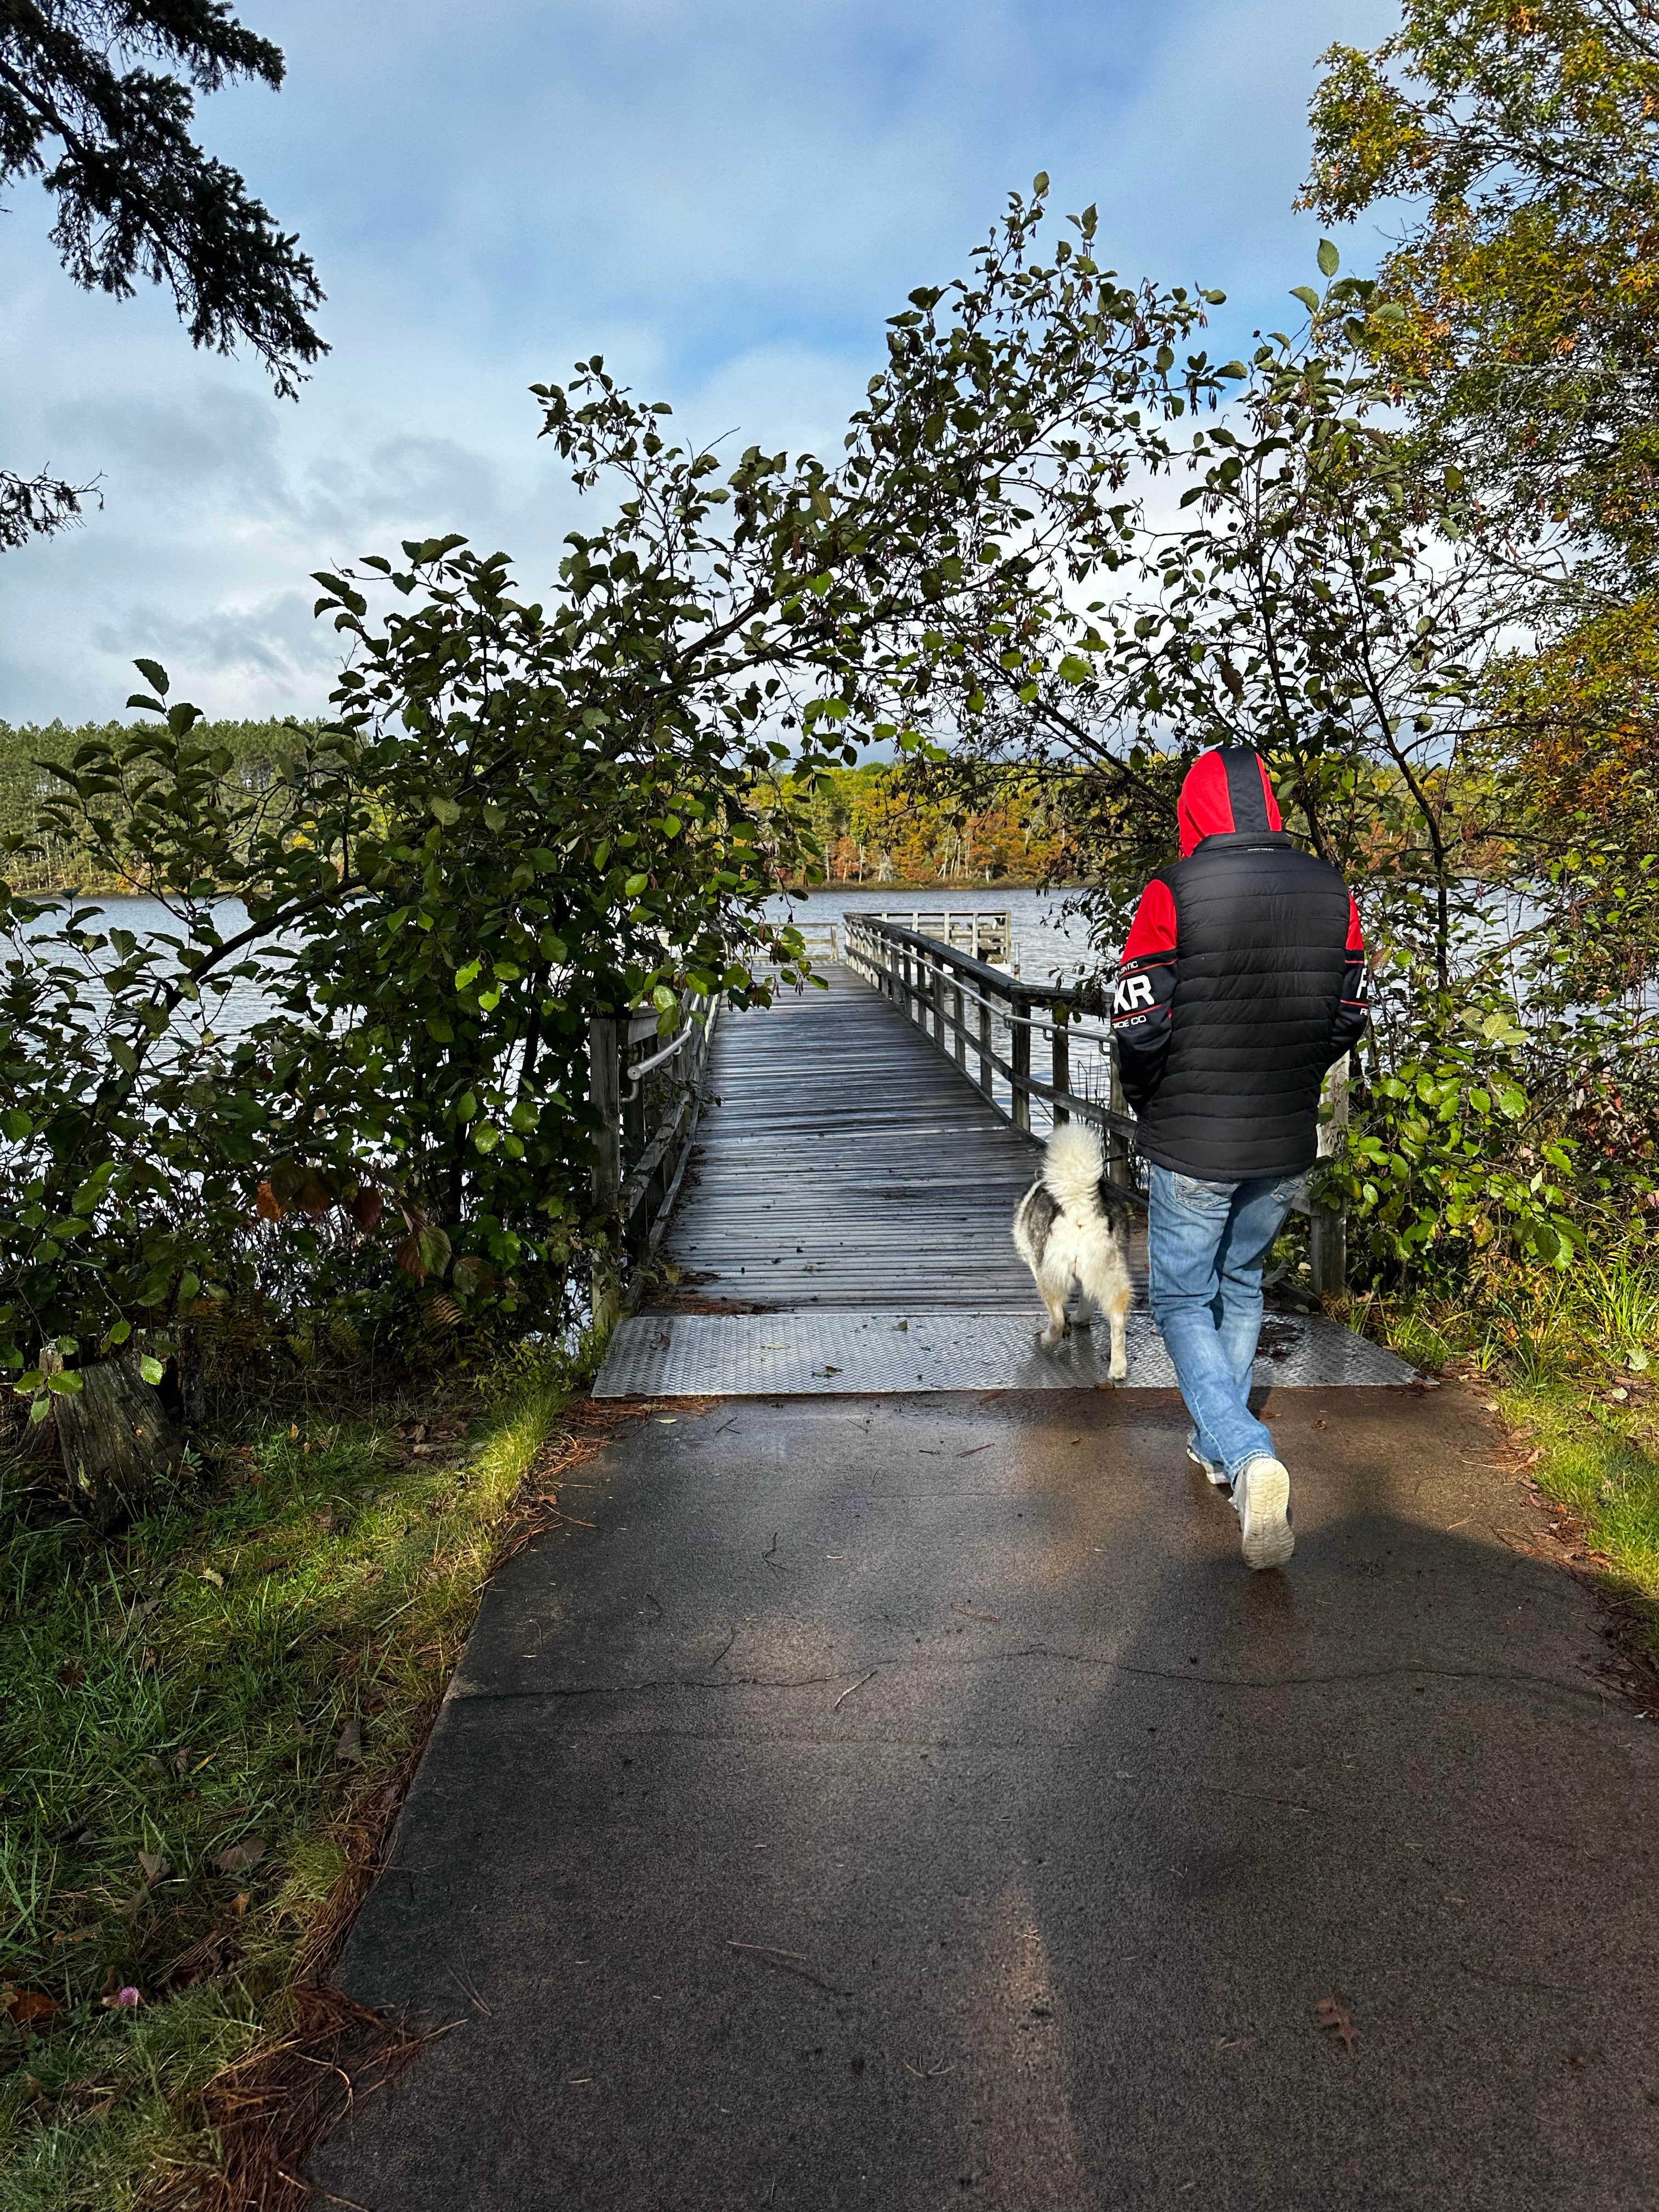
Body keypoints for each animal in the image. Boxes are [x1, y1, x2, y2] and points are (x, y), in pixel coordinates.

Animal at [1013, 1124, 1141, 1380]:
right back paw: (1118, 1368)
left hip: (1050, 1273)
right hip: (1107, 1269)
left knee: (1056, 1317)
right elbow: (1086, 1297)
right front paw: (1082, 1319)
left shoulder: (1037, 1265)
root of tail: (1078, 1201)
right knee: (1118, 1316)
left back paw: (1048, 1339)